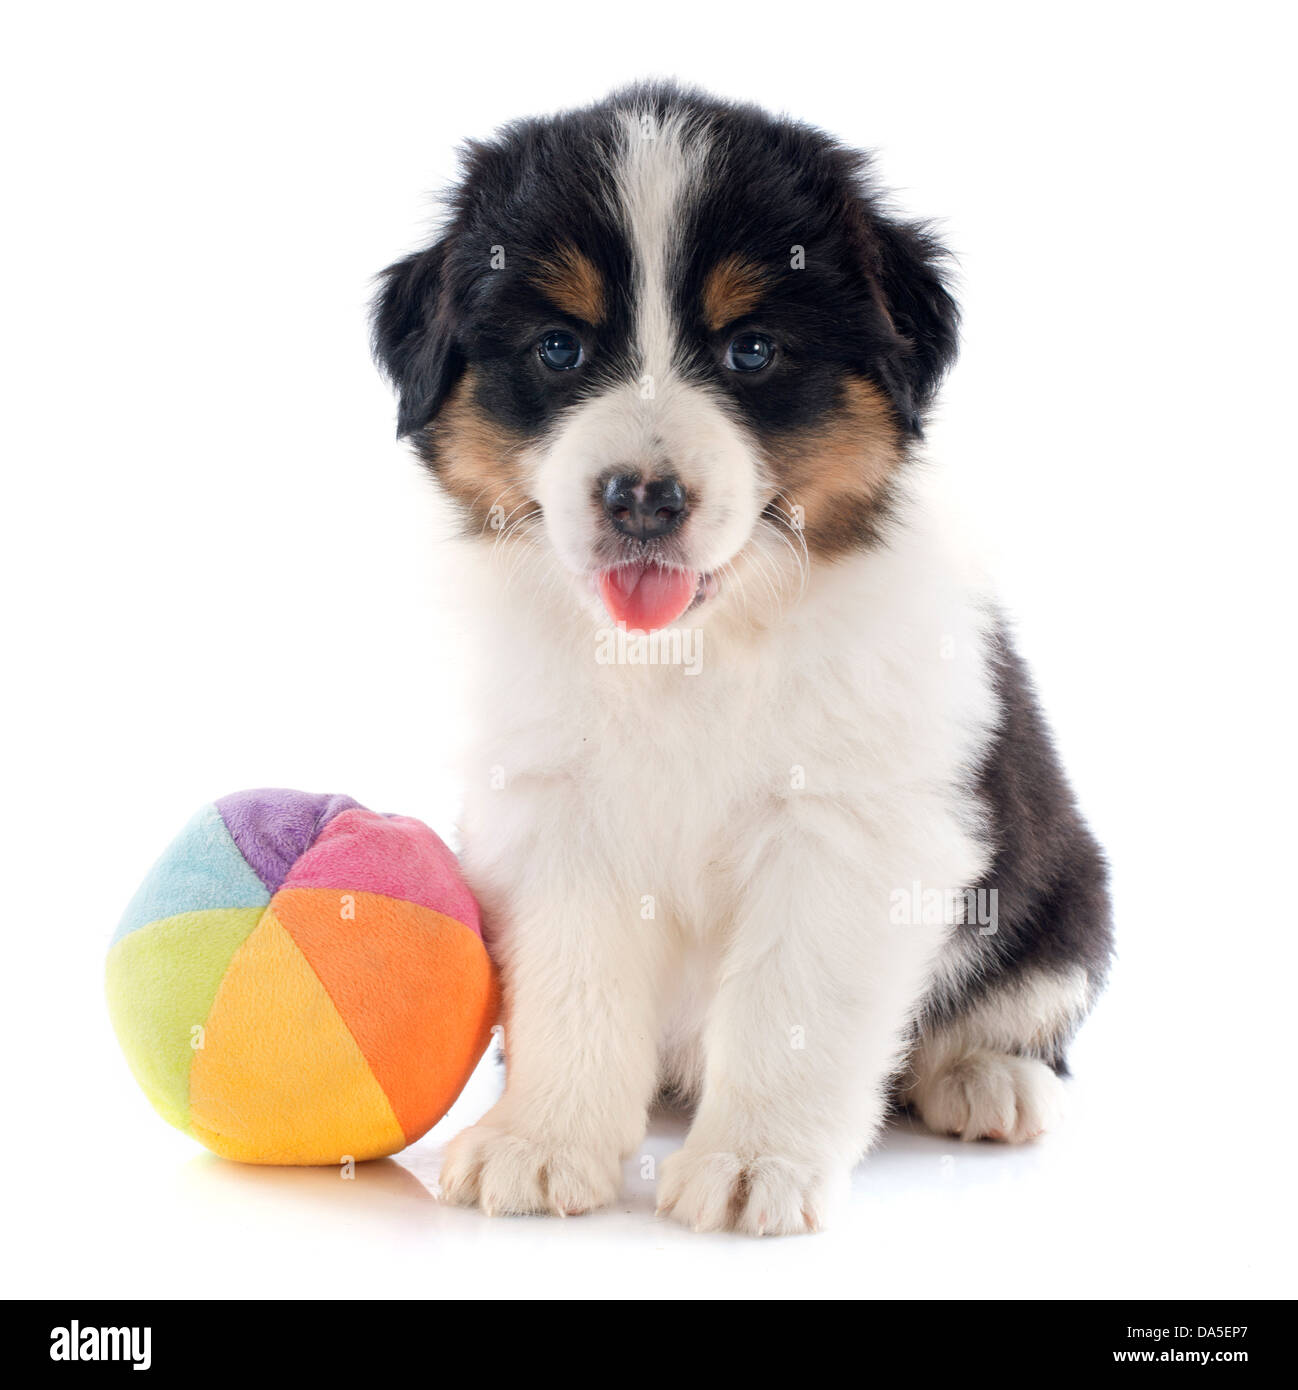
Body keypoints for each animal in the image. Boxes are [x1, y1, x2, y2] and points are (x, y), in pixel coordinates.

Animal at [369, 84, 1111, 1239]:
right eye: (557, 349)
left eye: (752, 351)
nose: (641, 497)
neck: (687, 656)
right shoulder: (552, 809)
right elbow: (572, 983)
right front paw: (542, 1142)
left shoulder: (849, 829)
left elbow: (788, 1004)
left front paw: (753, 1162)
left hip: (1063, 888)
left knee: (1022, 1002)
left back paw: (988, 1079)